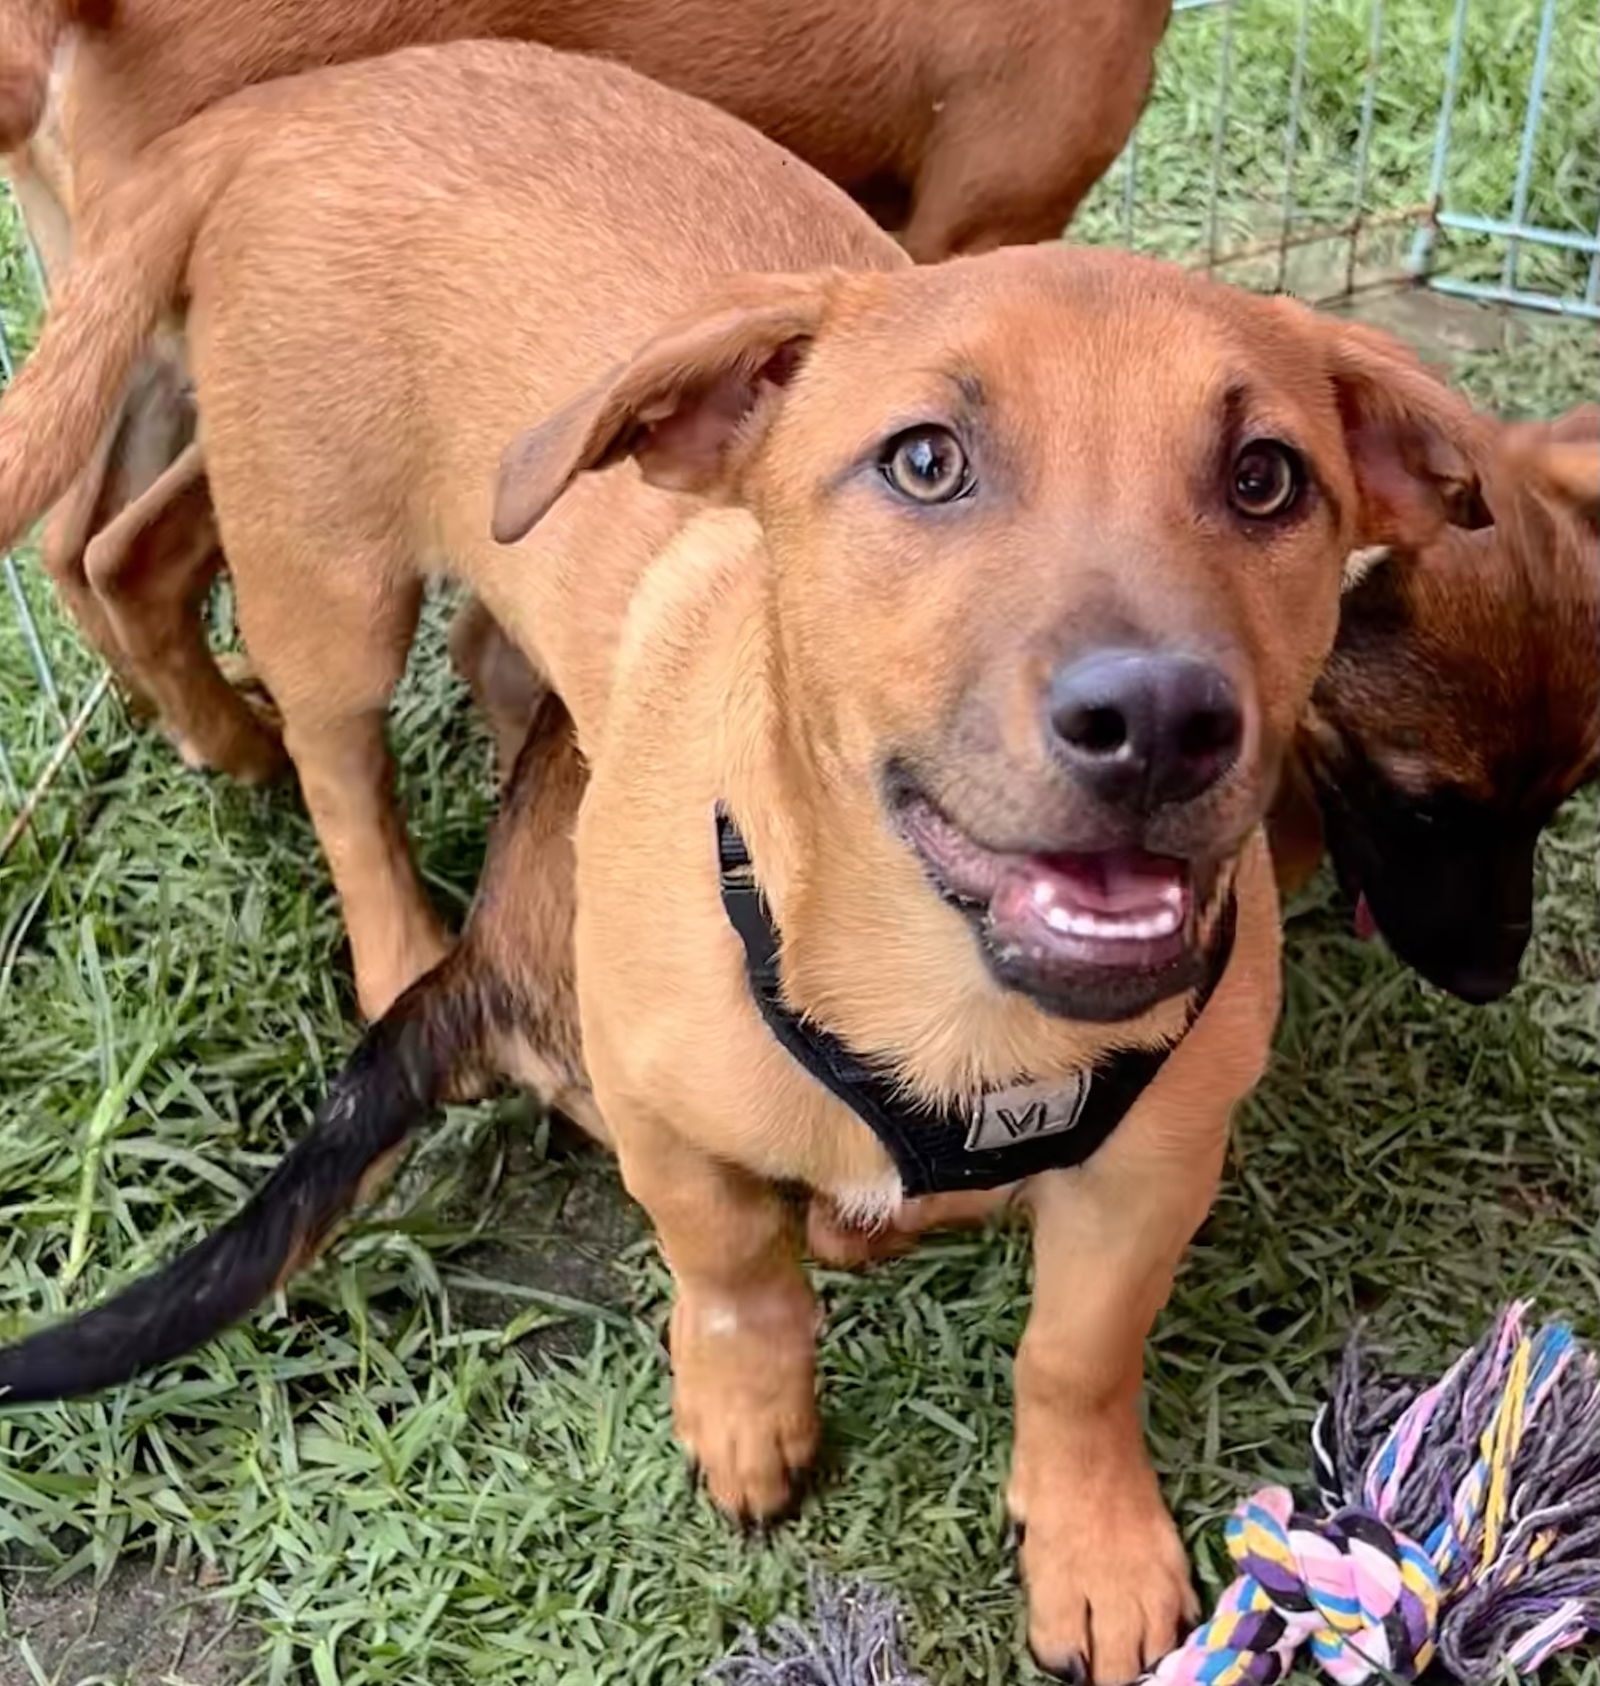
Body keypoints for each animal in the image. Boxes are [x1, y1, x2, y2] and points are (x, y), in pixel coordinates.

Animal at [0, 46, 1490, 1679]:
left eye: (1268, 479)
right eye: (926, 461)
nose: (1159, 720)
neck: (954, 1005)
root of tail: (313, 95)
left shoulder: (1151, 1170)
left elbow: (1075, 1356)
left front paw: (1091, 1535)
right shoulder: (658, 1102)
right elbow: (725, 1263)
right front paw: (746, 1410)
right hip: (322, 574)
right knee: (338, 768)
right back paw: (386, 926)